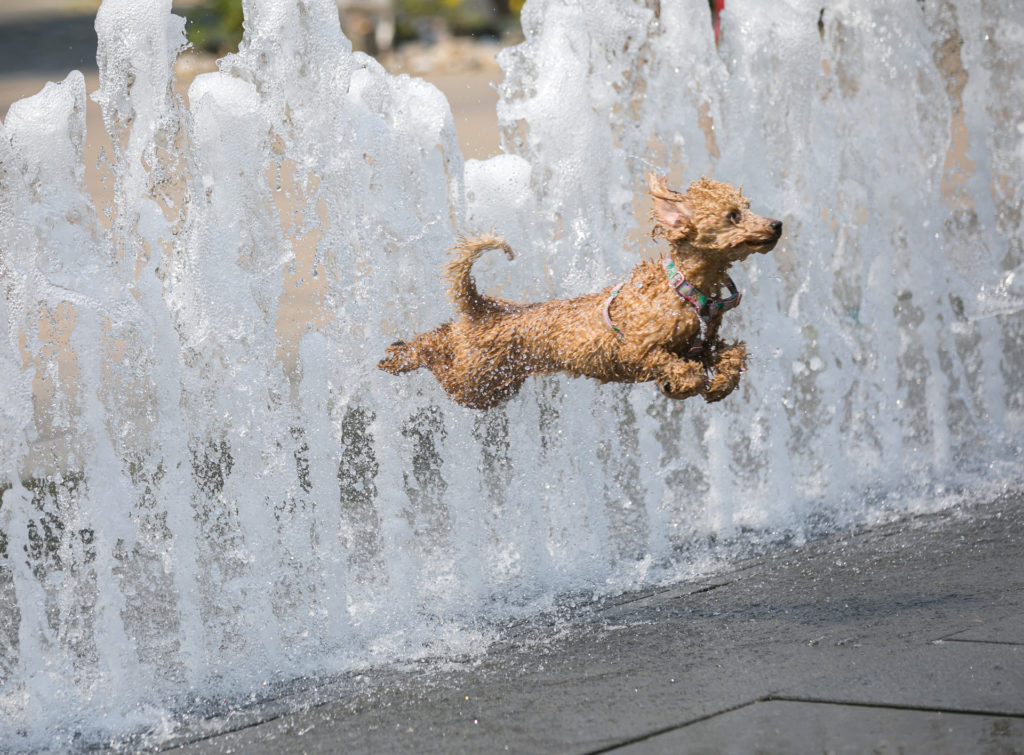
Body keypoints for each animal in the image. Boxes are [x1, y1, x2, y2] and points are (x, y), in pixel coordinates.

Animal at [378, 174, 782, 409]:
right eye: (733, 216)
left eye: (747, 208)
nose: (777, 224)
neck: (683, 289)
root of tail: (484, 308)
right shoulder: (637, 350)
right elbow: (674, 365)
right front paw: (683, 384)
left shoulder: (701, 346)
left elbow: (732, 354)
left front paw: (721, 384)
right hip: (472, 382)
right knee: (432, 350)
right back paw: (399, 357)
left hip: (491, 380)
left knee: (442, 334)